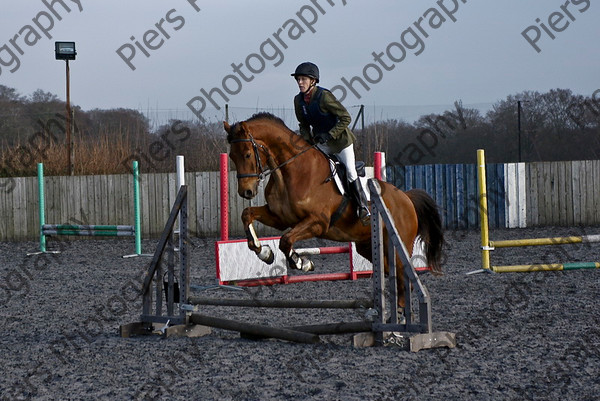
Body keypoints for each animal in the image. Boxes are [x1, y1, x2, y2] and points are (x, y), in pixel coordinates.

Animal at [223, 111, 442, 306]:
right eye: (231, 156)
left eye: (247, 154)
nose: (246, 192)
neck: (289, 172)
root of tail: (406, 198)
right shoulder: (279, 218)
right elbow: (247, 215)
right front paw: (264, 252)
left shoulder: (318, 223)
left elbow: (286, 241)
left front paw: (302, 263)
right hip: (368, 247)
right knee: (399, 280)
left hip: (398, 246)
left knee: (405, 280)